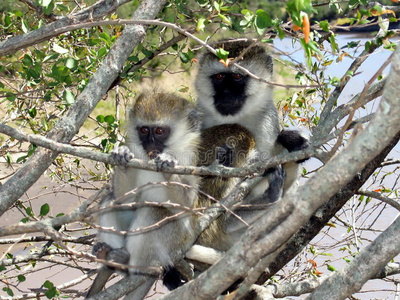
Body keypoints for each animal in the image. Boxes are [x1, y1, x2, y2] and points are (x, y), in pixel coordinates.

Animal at [87, 92, 200, 298]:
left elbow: (188, 203)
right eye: (144, 130)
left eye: (160, 131)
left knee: (154, 210)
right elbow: (124, 197)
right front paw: (122, 155)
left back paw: (136, 267)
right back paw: (113, 259)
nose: (150, 144)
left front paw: (168, 163)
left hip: (175, 239)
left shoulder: (189, 159)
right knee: (110, 201)